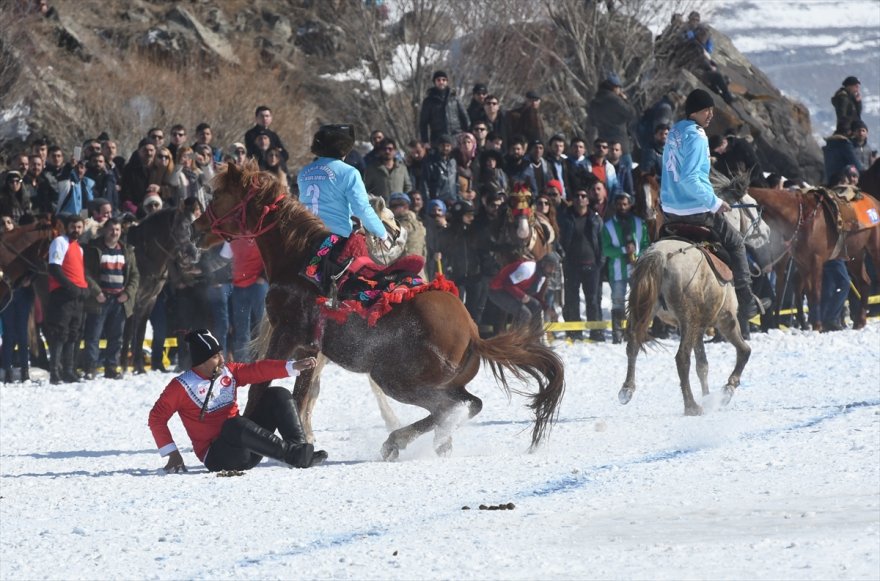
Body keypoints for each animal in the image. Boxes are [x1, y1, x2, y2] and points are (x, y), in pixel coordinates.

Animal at [192, 162, 564, 458]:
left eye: (219, 194)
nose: (196, 229)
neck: (300, 260)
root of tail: (473, 333)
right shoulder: (310, 349)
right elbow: (299, 394)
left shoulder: (289, 335)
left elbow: (266, 387)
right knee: (467, 404)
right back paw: (432, 441)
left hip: (395, 377)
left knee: (453, 406)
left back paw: (399, 440)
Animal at [744, 187, 880, 328]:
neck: (800, 217)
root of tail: (875, 201)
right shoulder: (802, 262)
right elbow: (809, 294)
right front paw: (815, 325)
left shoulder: (816, 260)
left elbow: (816, 293)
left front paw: (817, 326)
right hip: (855, 255)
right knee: (865, 283)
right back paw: (859, 322)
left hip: (874, 249)